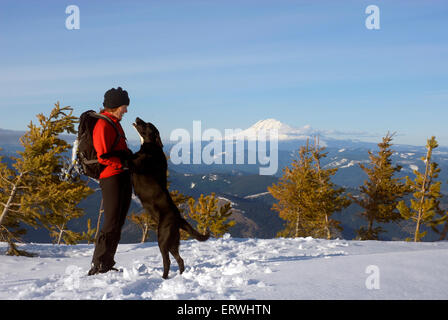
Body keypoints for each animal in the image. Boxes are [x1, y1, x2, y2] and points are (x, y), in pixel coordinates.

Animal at [127, 117, 209, 278]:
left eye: (147, 125)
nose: (138, 118)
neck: (152, 146)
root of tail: (178, 218)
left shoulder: (135, 163)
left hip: (163, 240)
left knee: (168, 261)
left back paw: (163, 278)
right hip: (172, 242)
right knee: (180, 259)